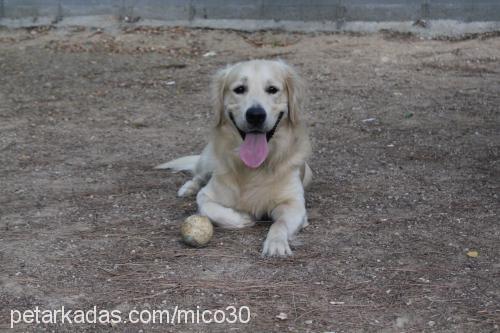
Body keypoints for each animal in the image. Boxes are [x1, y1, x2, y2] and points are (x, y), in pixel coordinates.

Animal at [157, 59, 312, 255]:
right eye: (239, 89)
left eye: (272, 89)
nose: (255, 115)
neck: (254, 167)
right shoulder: (207, 194)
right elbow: (208, 208)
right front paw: (243, 217)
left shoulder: (294, 204)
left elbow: (280, 223)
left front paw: (276, 244)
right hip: (209, 159)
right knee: (199, 176)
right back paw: (188, 187)